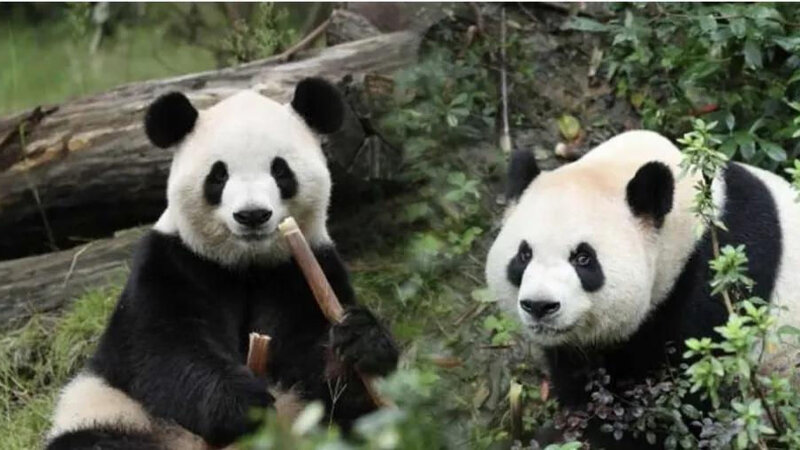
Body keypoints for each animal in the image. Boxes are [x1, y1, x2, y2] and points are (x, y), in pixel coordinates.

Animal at [46, 78, 399, 449]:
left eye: (280, 170)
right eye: (218, 176)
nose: (252, 215)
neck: (246, 265)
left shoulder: (302, 270)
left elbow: (319, 367)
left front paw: (360, 341)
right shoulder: (173, 264)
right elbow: (163, 349)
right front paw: (241, 404)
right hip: (114, 409)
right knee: (92, 440)